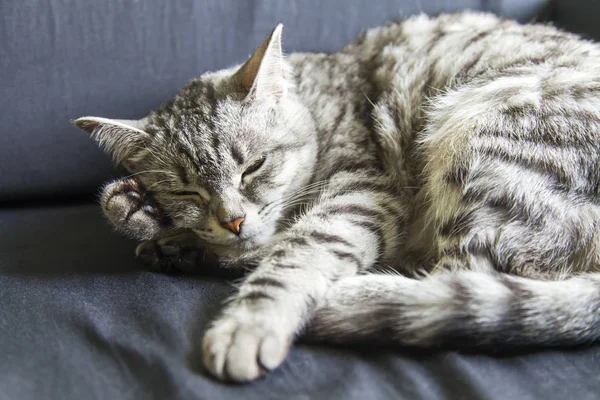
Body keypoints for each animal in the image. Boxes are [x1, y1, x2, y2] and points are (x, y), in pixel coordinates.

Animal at [74, 11, 600, 382]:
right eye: (186, 189)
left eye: (253, 167)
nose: (232, 220)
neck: (316, 100)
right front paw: (149, 213)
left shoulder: (363, 193)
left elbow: (294, 255)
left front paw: (249, 322)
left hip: (480, 132)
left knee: (458, 280)